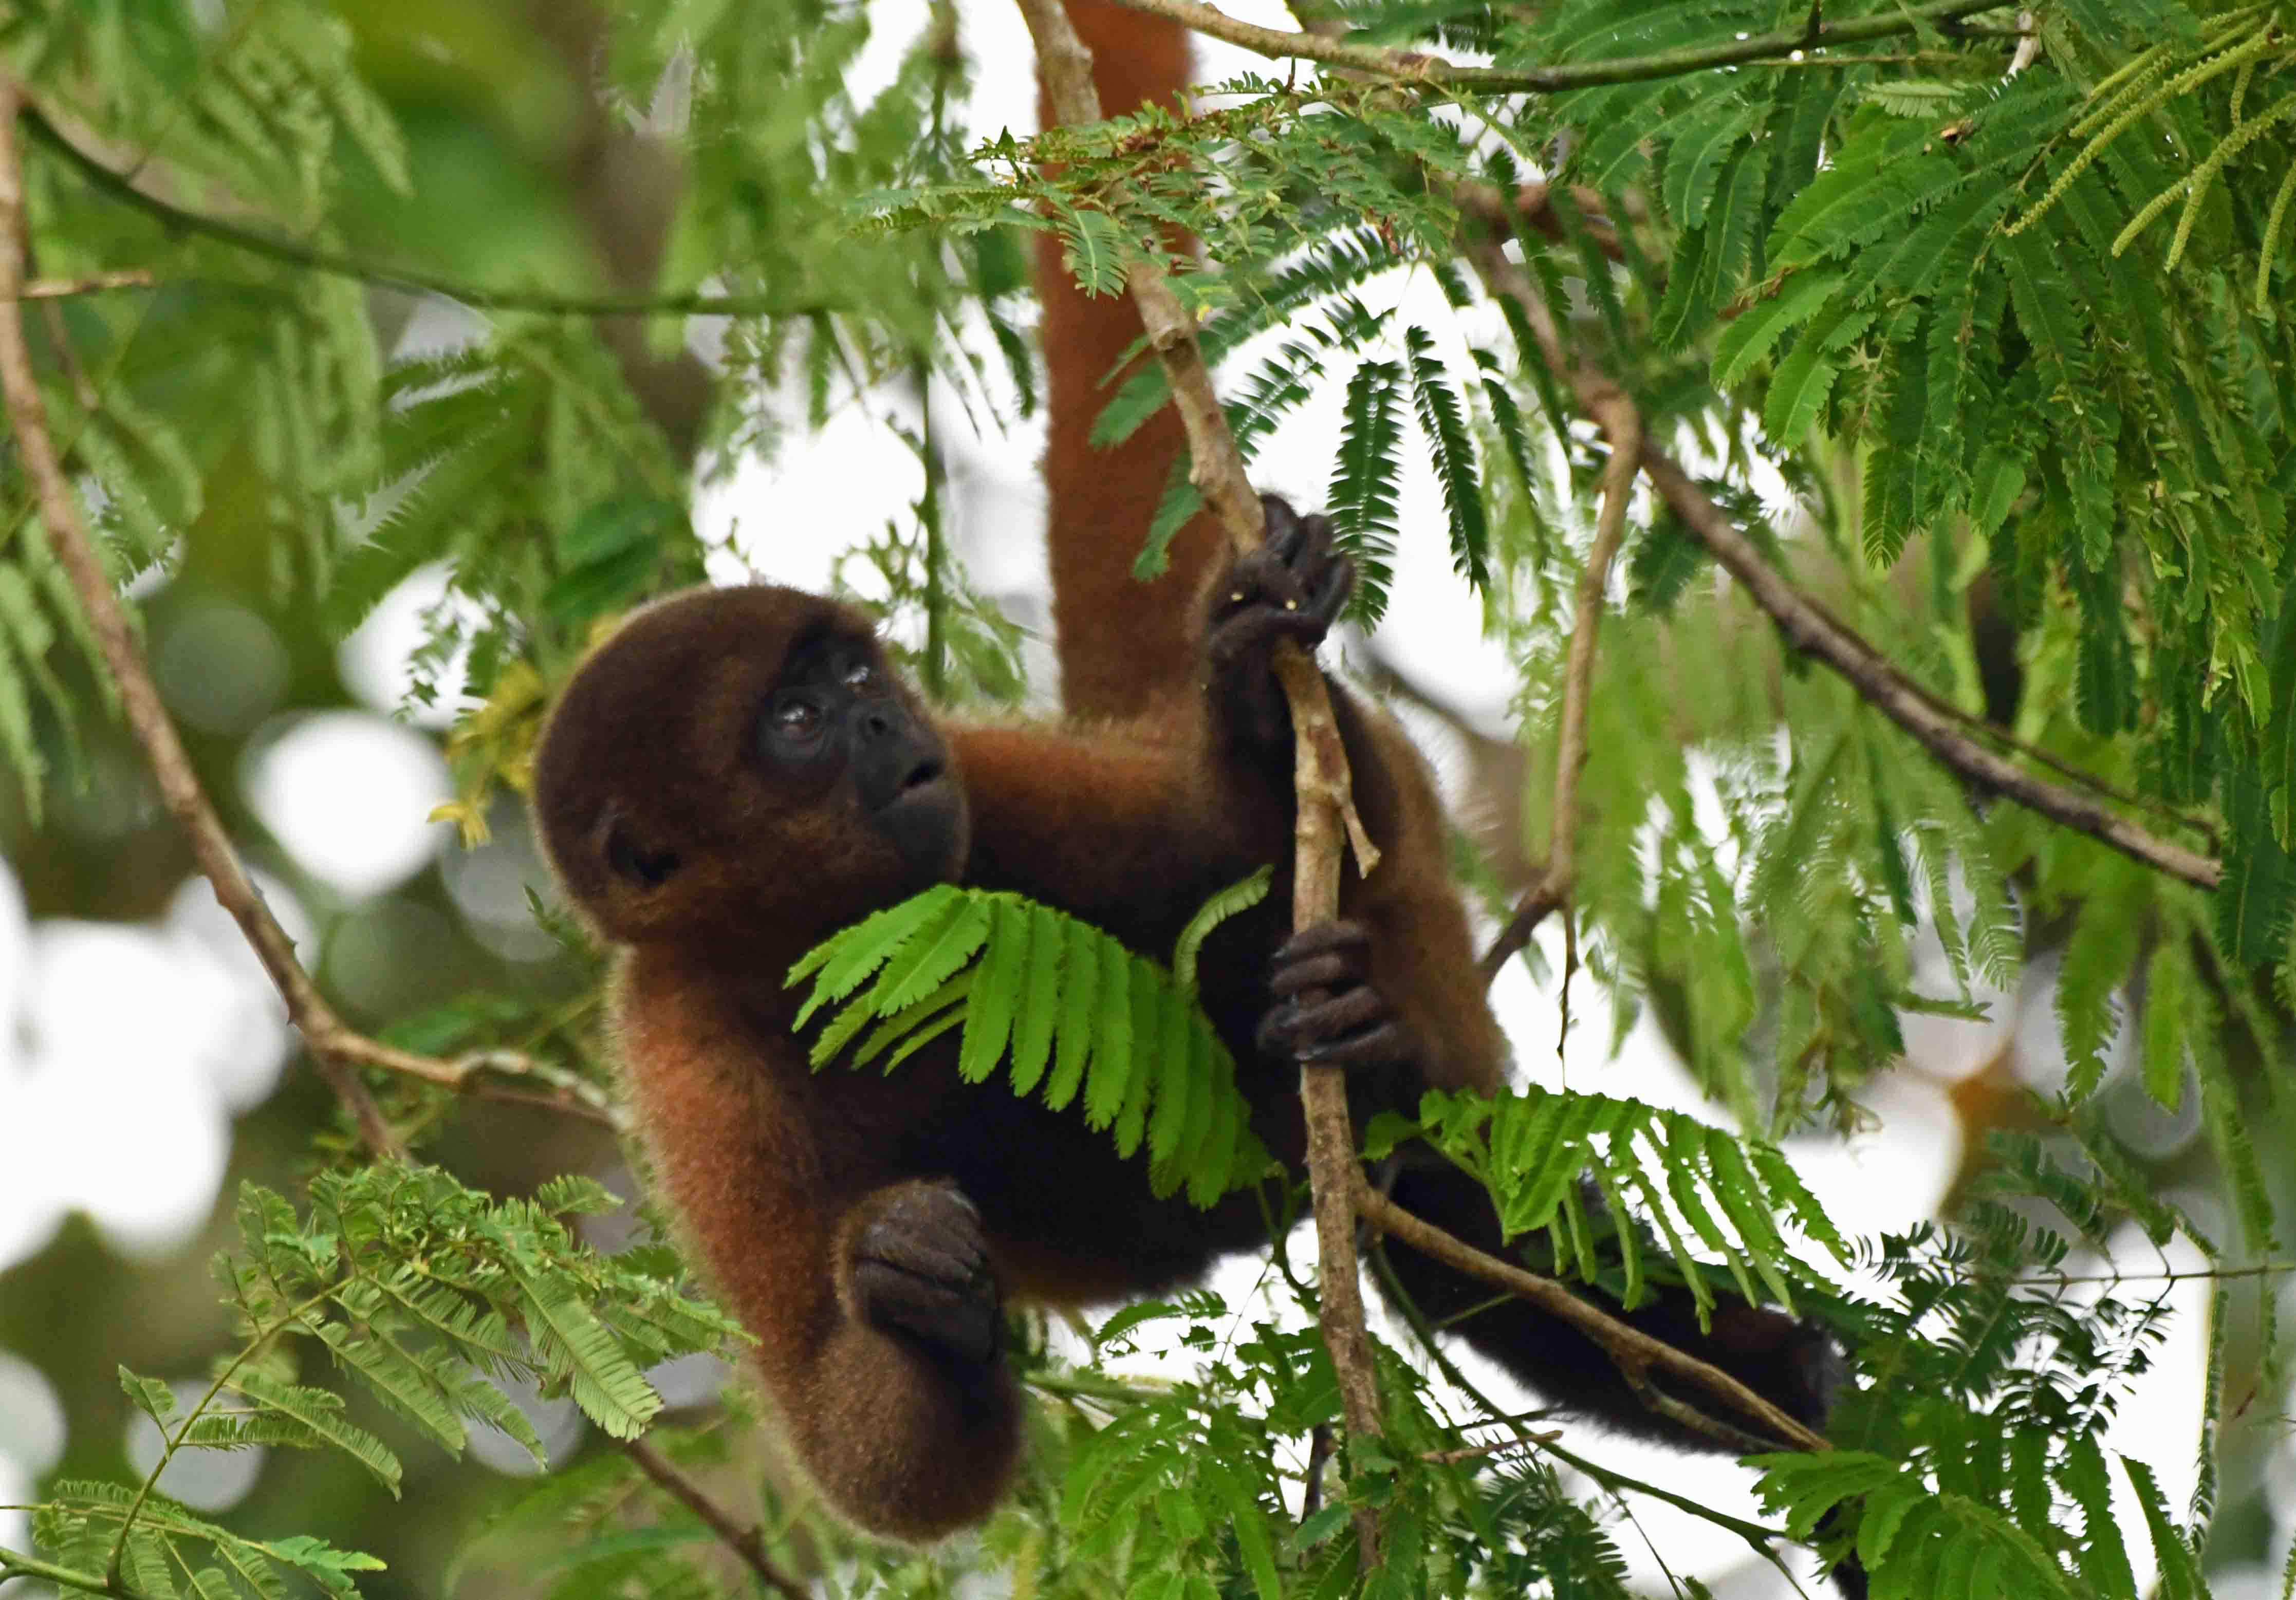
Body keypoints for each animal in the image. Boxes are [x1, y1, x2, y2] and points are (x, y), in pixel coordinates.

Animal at [531, 499, 1851, 1561]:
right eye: (798, 716)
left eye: (855, 681)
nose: (877, 721)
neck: (811, 942)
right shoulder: (686, 1063)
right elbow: (867, 1459)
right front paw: (907, 1282)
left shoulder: (982, 786)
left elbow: (1200, 835)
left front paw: (1252, 692)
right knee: (1455, 1247)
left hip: (1415, 898)